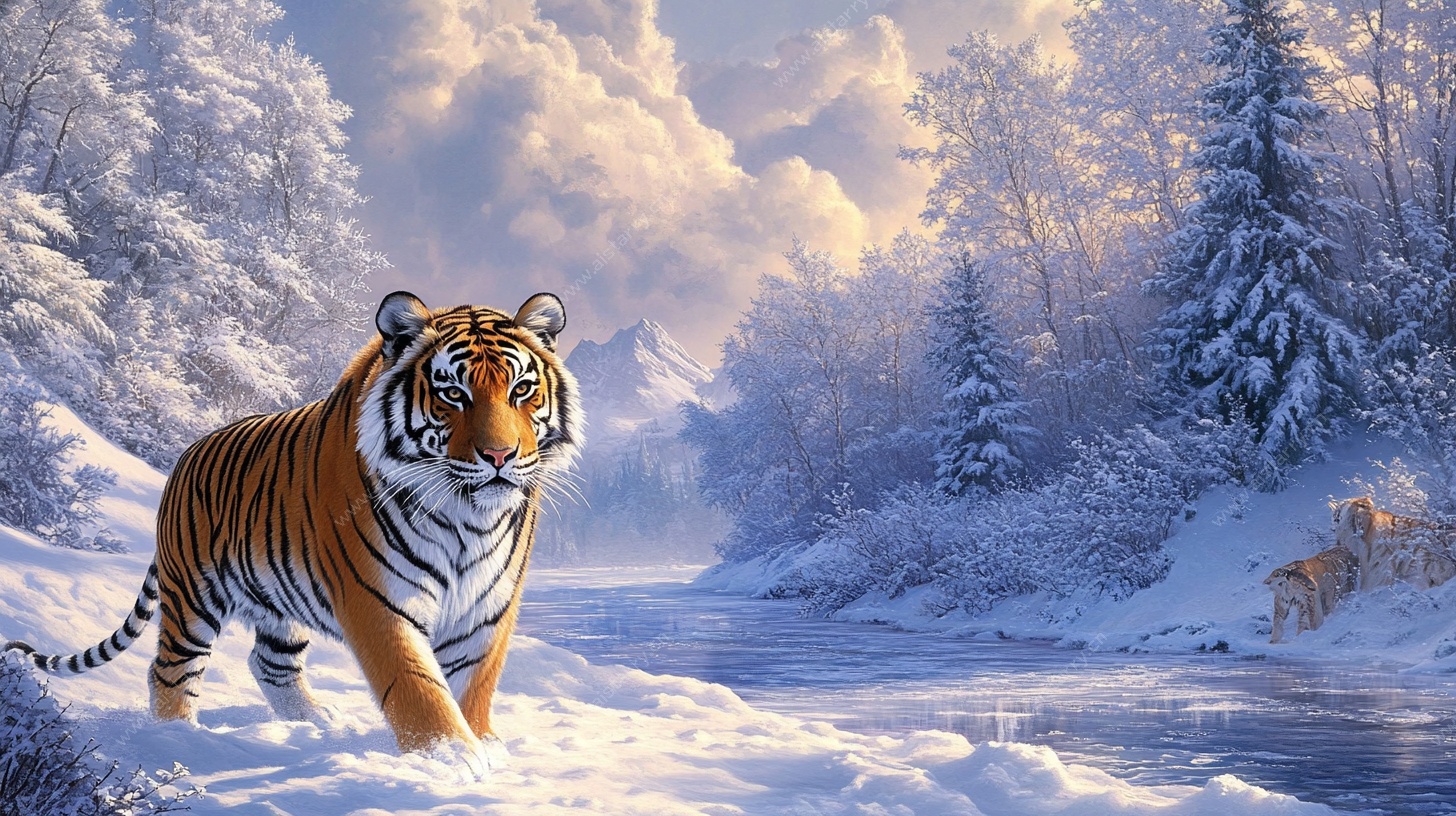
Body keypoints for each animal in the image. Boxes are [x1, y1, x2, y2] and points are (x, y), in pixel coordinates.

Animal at [3, 291, 582, 766]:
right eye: (454, 394)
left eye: (522, 390)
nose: (500, 456)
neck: (467, 518)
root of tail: (186, 454)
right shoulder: (377, 600)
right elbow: (417, 685)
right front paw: (449, 755)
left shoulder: (488, 605)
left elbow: (472, 684)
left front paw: (481, 743)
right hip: (192, 596)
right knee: (170, 670)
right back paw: (179, 738)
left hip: (279, 601)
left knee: (268, 661)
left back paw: (313, 720)